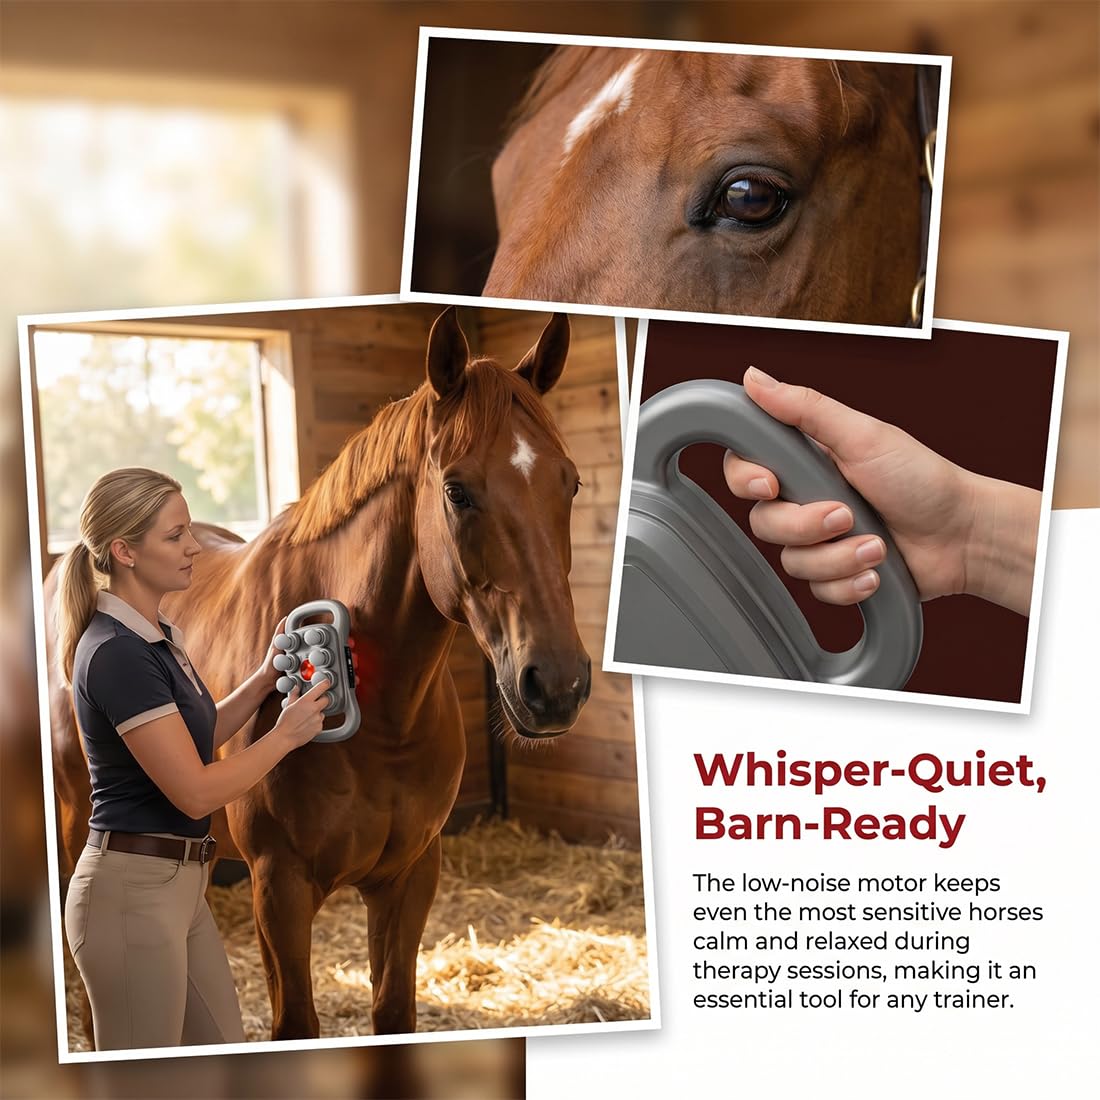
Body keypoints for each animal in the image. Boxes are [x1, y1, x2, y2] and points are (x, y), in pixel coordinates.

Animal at [47, 307, 592, 1040]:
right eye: (457, 490)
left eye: (570, 481)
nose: (556, 687)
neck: (386, 724)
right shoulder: (281, 890)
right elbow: (296, 1024)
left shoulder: (409, 878)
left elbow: (393, 1011)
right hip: (77, 815)